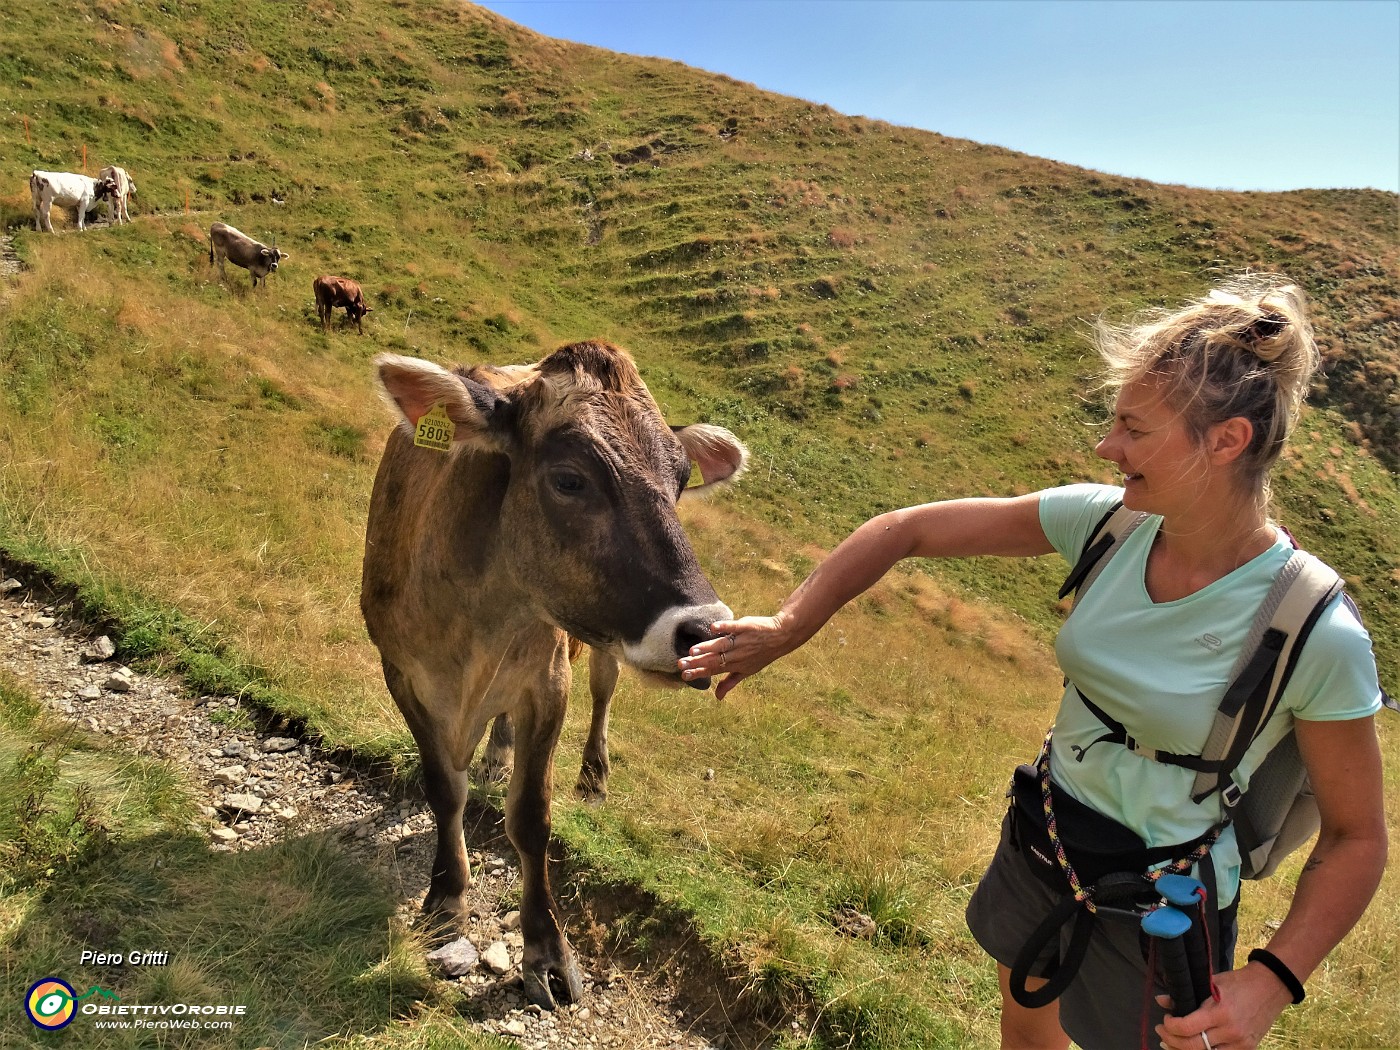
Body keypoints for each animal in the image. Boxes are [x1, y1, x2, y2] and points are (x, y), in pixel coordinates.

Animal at [366, 343, 750, 1013]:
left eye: (679, 484)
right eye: (570, 480)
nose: (705, 630)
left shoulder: (548, 686)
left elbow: (530, 817)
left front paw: (546, 952)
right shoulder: (402, 673)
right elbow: (443, 790)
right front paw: (446, 898)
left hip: (594, 650)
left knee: (603, 694)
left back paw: (593, 773)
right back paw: (495, 754)